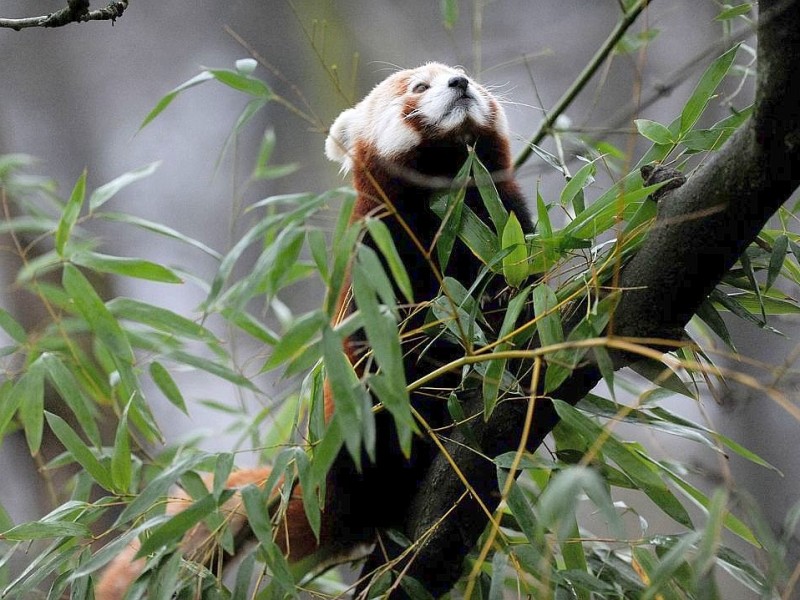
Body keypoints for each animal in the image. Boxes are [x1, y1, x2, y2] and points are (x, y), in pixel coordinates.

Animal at [95, 63, 532, 596]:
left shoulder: (502, 218)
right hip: (347, 437)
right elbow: (398, 349)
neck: (448, 200)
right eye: (419, 87)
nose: (461, 83)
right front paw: (447, 346)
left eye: (460, 73)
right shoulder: (380, 260)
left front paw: (501, 299)